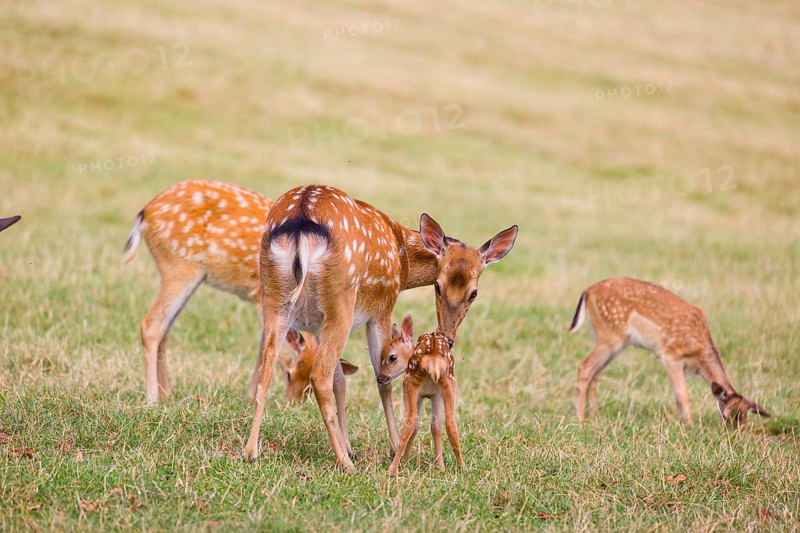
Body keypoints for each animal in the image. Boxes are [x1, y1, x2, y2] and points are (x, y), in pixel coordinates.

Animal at [122, 180, 354, 425]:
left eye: (309, 387)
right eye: (290, 375)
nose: (294, 403)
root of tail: (145, 213)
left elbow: (262, 346)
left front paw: (250, 399)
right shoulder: (262, 296)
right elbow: (275, 351)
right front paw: (256, 400)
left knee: (165, 328)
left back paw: (167, 392)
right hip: (178, 266)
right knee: (151, 324)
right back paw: (152, 399)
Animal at [377, 317, 466, 475]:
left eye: (392, 357)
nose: (380, 378)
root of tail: (433, 358)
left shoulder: (423, 395)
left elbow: (419, 425)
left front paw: (406, 459)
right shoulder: (436, 395)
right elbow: (436, 427)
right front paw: (441, 467)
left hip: (409, 382)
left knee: (411, 420)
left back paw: (392, 470)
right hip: (449, 382)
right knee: (450, 421)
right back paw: (463, 467)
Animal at [569, 277, 770, 427]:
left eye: (745, 418)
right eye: (727, 415)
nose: (734, 434)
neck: (698, 356)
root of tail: (587, 291)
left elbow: (676, 394)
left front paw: (680, 421)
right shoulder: (671, 356)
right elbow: (683, 393)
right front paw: (689, 425)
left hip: (609, 340)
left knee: (595, 373)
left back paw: (594, 415)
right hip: (610, 336)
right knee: (584, 367)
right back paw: (580, 418)